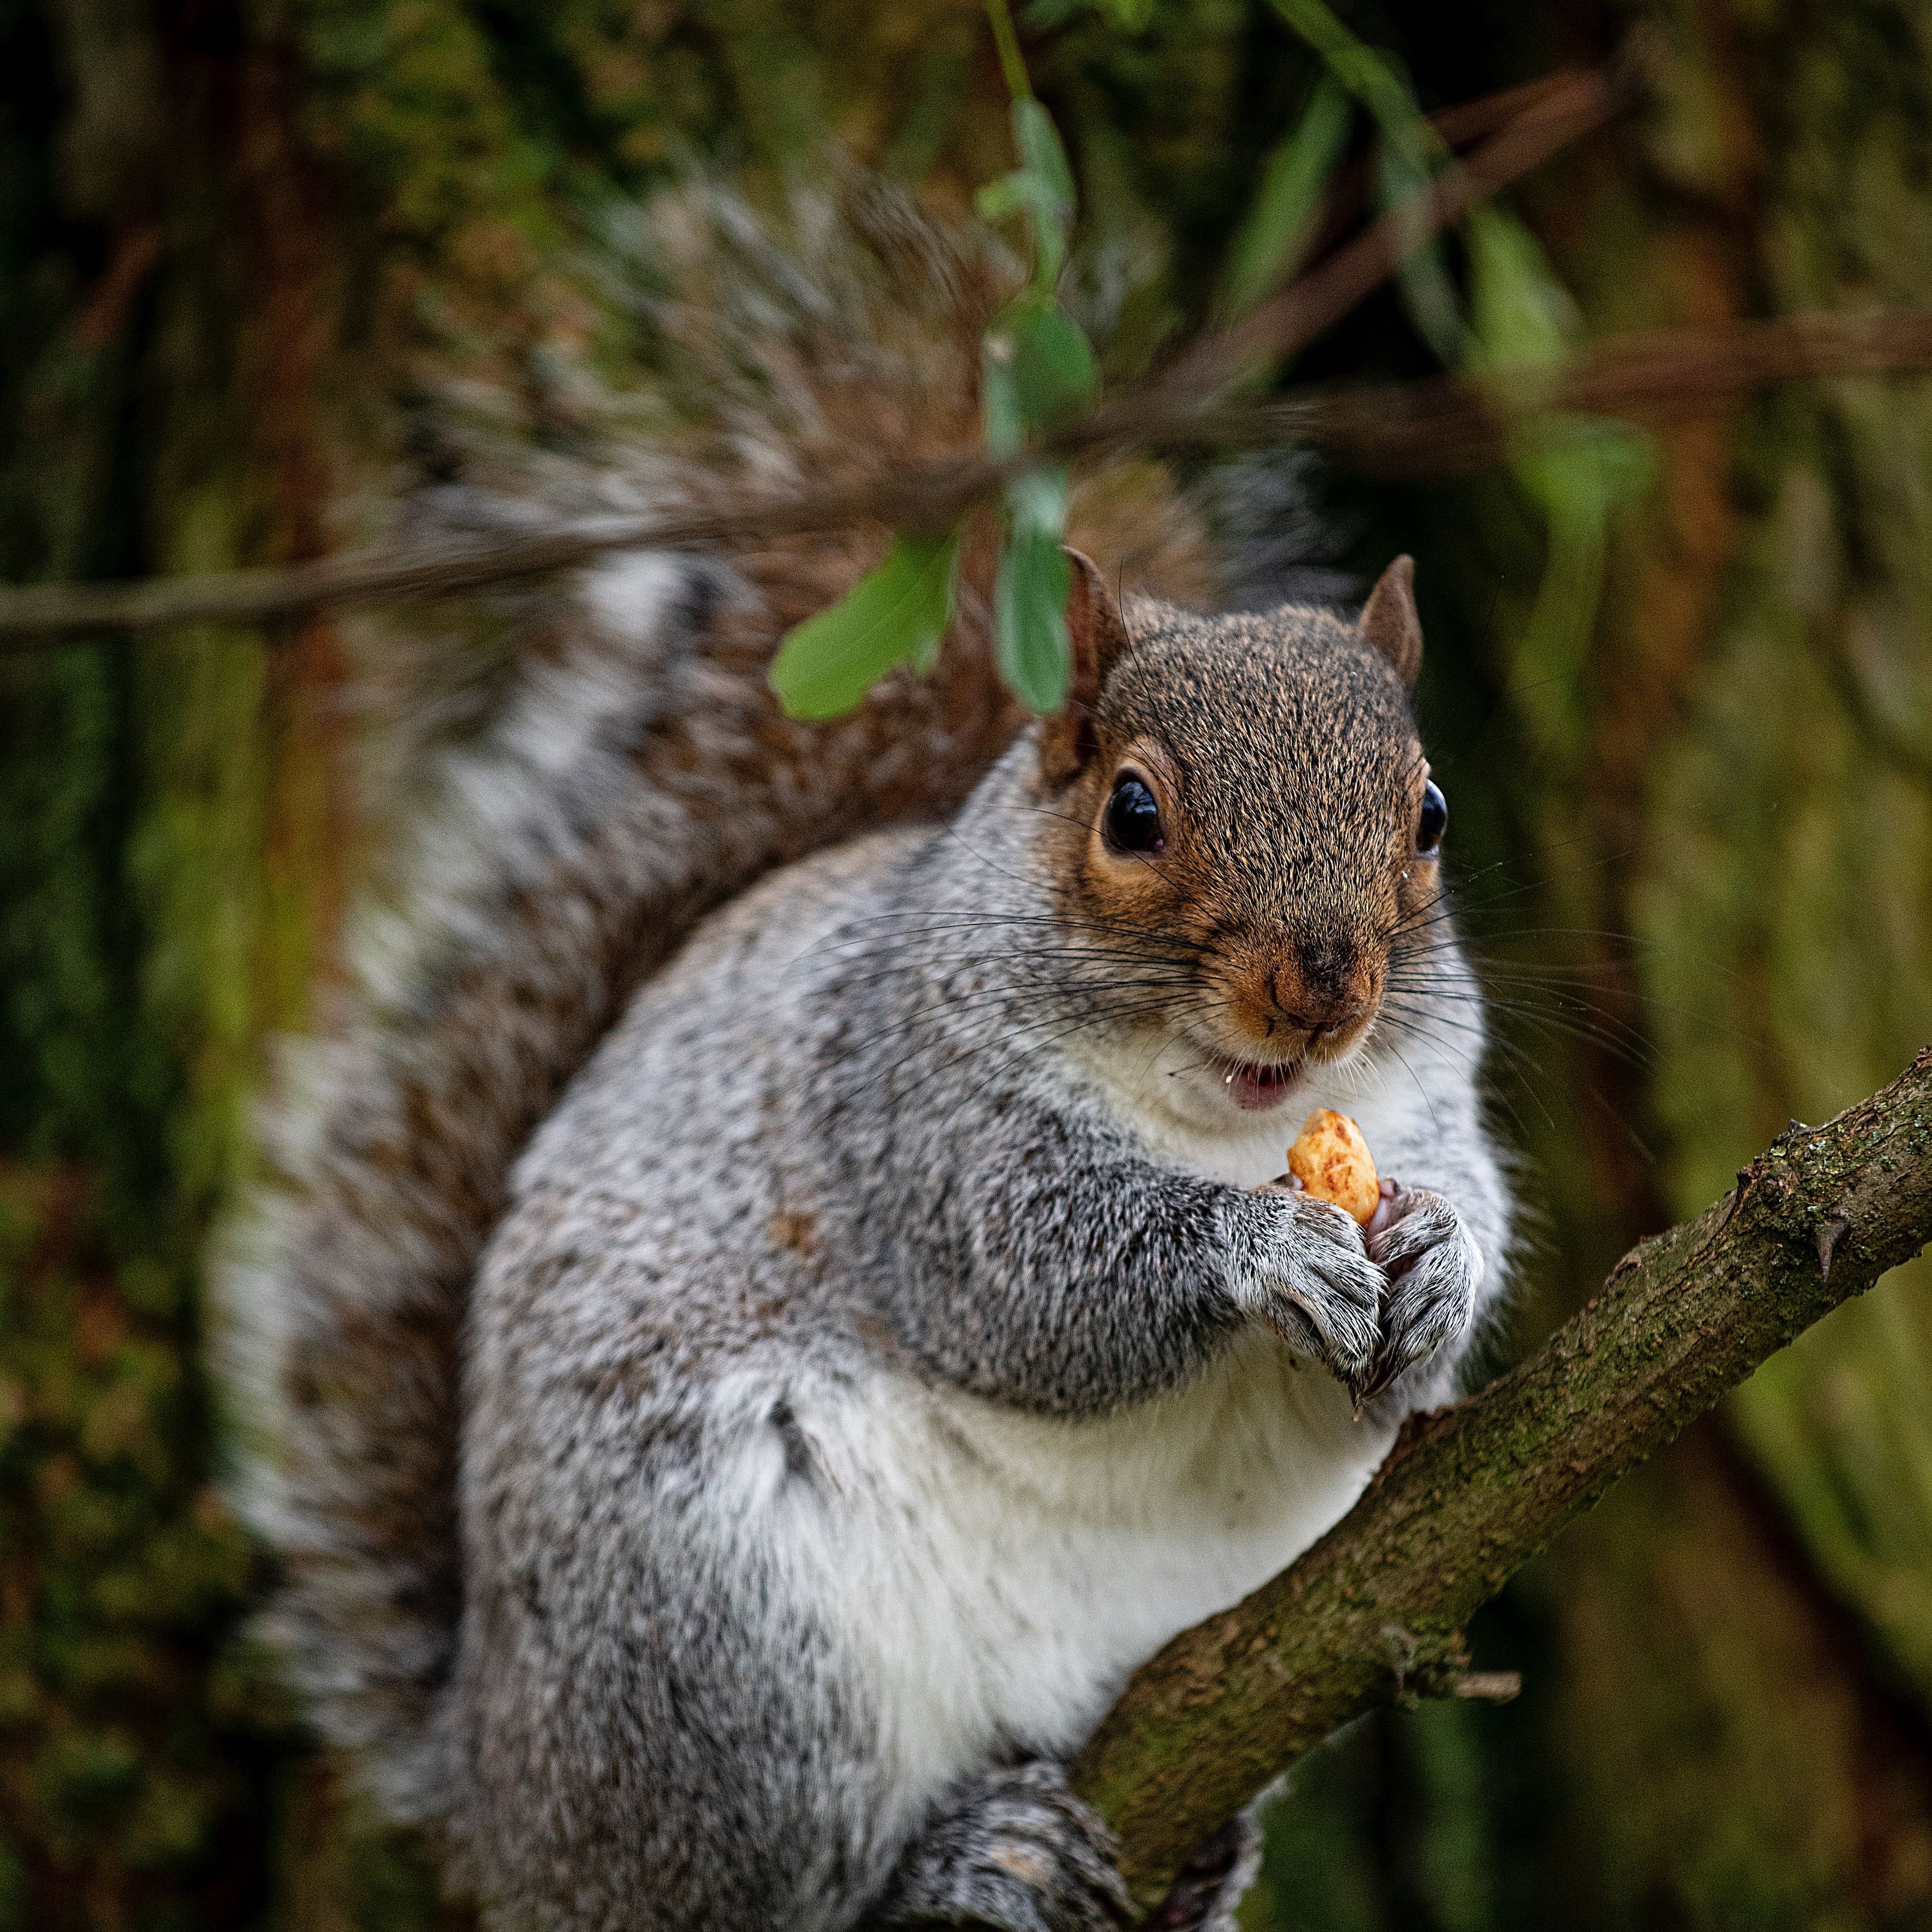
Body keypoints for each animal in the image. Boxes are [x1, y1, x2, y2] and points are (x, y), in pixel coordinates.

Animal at [219, 188, 1514, 1932]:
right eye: (1130, 811)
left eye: (1426, 814)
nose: (1316, 994)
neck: (1223, 1116)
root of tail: (504, 1804)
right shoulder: (899, 1107)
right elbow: (1026, 1283)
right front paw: (1251, 1247)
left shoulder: (1421, 1095)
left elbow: (1432, 1292)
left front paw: (1435, 1253)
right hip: (733, 1647)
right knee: (761, 1889)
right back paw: (952, 1857)